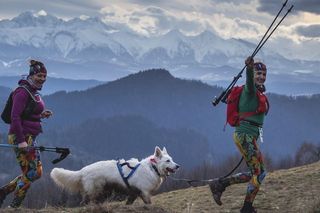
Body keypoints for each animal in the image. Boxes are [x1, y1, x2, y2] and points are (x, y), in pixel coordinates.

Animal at [50, 146, 180, 205]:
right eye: (168, 161)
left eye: (172, 159)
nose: (178, 166)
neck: (152, 167)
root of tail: (83, 170)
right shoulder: (144, 192)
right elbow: (148, 203)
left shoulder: (134, 193)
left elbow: (129, 202)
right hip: (96, 190)